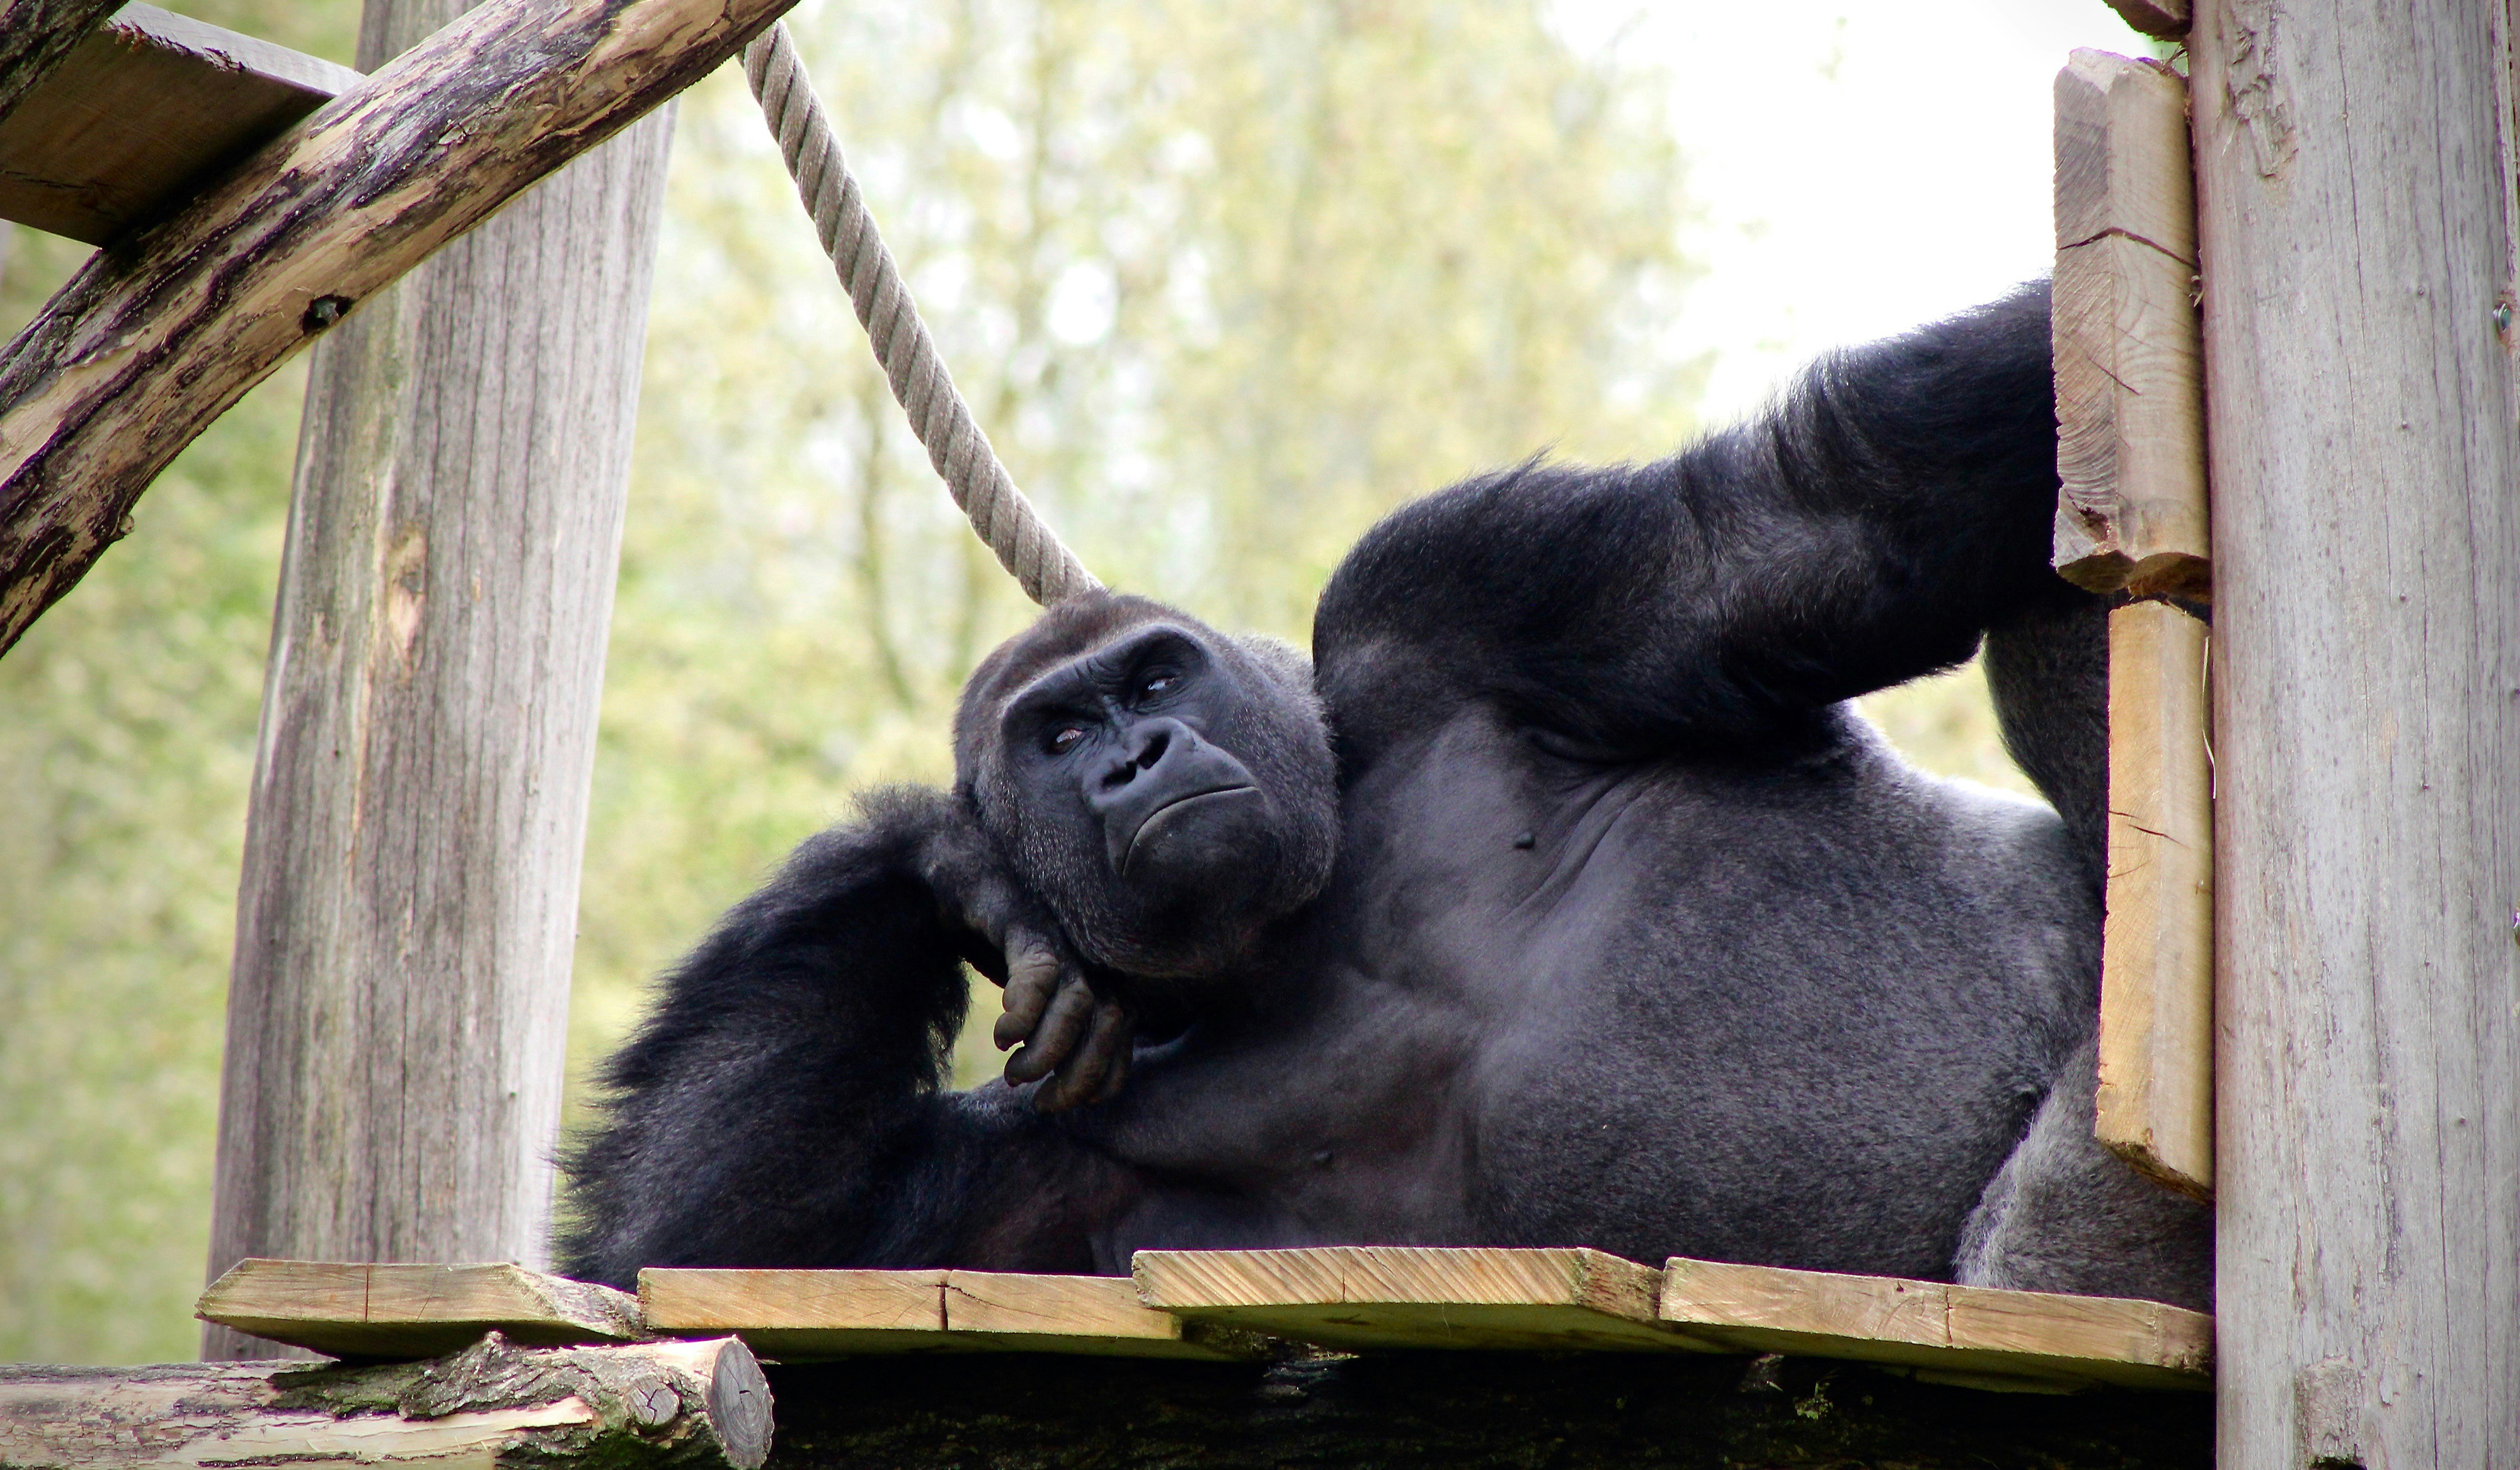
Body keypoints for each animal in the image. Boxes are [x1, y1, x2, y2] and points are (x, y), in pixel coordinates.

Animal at [567, 285, 2208, 1311]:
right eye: (1057, 733)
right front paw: (956, 862)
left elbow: (1832, 512)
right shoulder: (1062, 1155)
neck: (1311, 922)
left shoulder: (1438, 590)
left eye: (1155, 680)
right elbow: (718, 1250)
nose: (1131, 759)